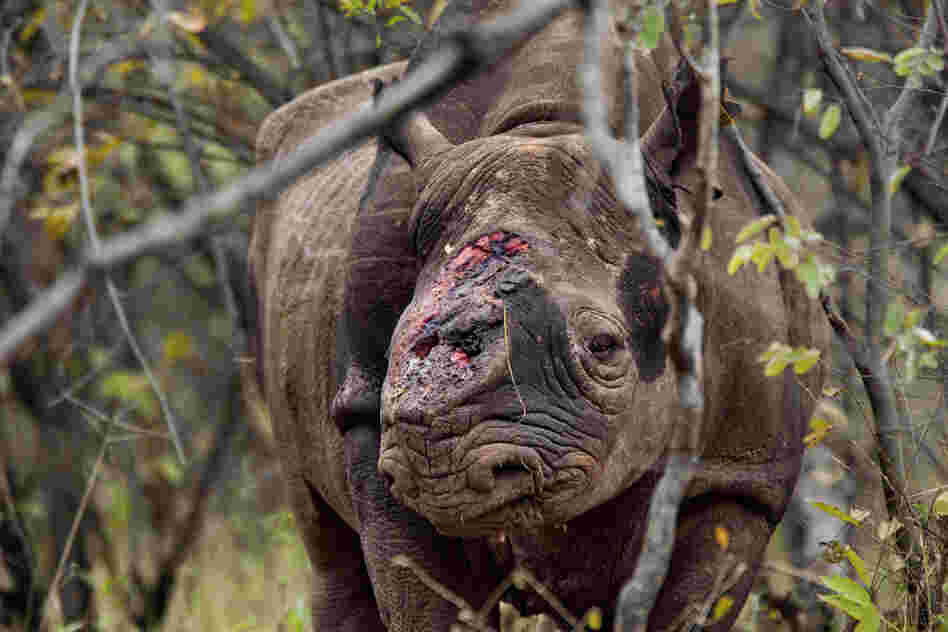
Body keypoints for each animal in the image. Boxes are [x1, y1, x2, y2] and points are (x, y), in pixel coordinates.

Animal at [246, 2, 830, 631]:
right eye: (396, 338)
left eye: (603, 348)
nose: (437, 462)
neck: (549, 126)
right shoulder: (367, 421)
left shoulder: (740, 475)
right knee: (333, 560)